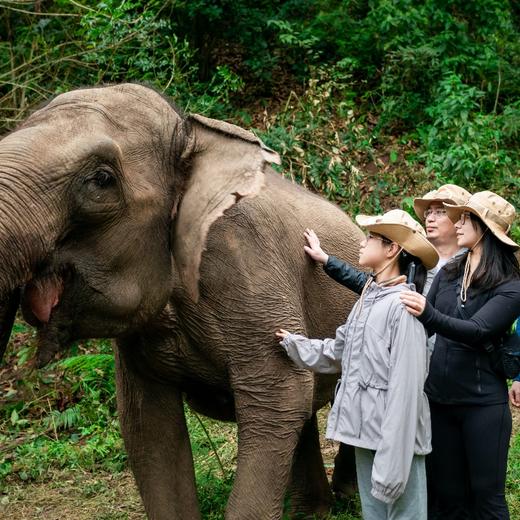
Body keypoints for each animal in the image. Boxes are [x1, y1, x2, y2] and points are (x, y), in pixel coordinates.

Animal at [0, 83, 364, 516]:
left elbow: (280, 393)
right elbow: (147, 426)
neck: (191, 132)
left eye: (101, 179)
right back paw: (311, 511)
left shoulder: (246, 266)